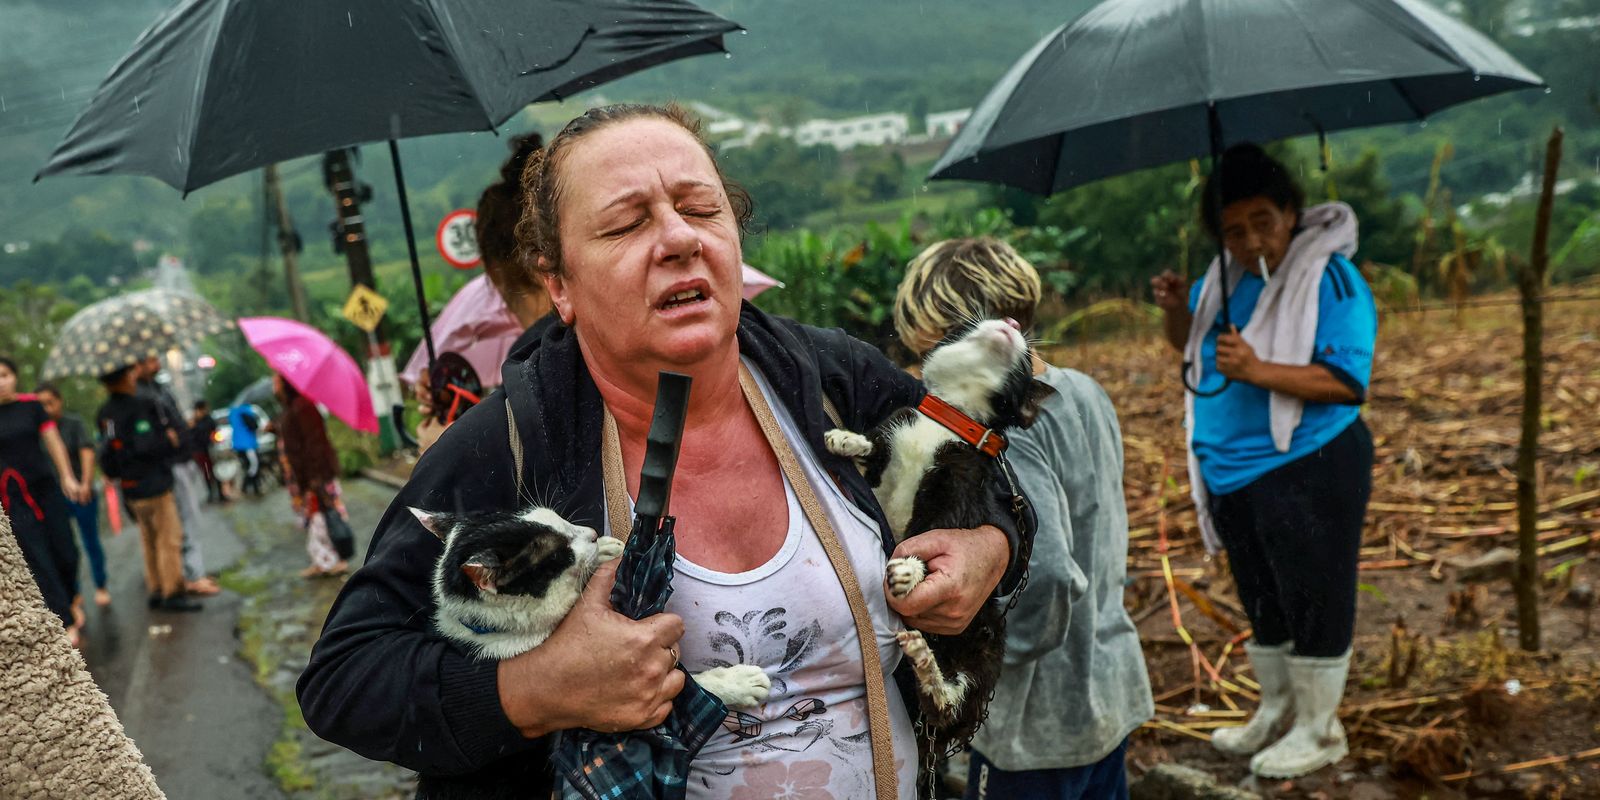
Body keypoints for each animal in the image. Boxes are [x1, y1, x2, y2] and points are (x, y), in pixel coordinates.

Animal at [412, 508, 774, 710]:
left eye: (558, 518)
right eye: (560, 552)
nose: (591, 532)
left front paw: (606, 549)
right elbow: (688, 688)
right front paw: (738, 683)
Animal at [825, 318, 1049, 768]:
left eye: (1028, 358)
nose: (1013, 322)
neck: (950, 417)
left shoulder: (961, 488)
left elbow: (937, 534)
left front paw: (912, 568)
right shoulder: (893, 437)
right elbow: (872, 448)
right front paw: (846, 440)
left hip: (987, 642)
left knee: (948, 701)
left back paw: (926, 663)